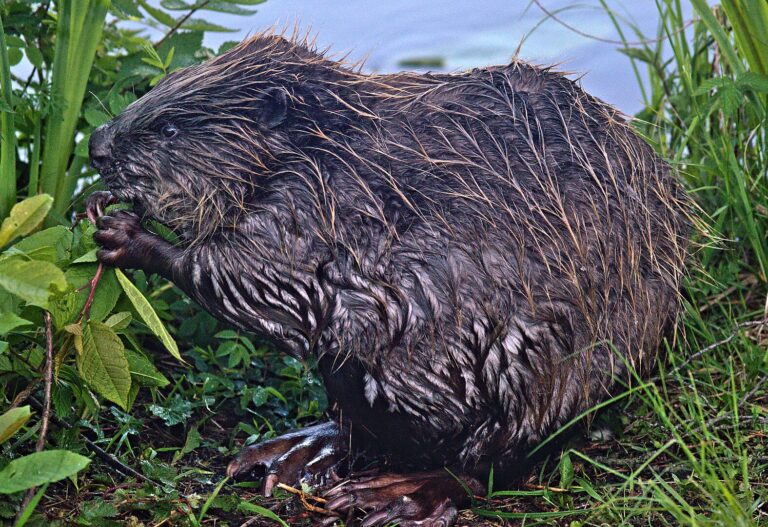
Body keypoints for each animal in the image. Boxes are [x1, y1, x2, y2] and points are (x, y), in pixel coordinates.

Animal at [88, 33, 688, 527]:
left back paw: (397, 494)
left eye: (168, 128)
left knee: (495, 462)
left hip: (541, 373)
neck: (324, 145)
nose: (95, 145)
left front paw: (124, 235)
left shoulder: (305, 208)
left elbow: (258, 282)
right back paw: (300, 451)